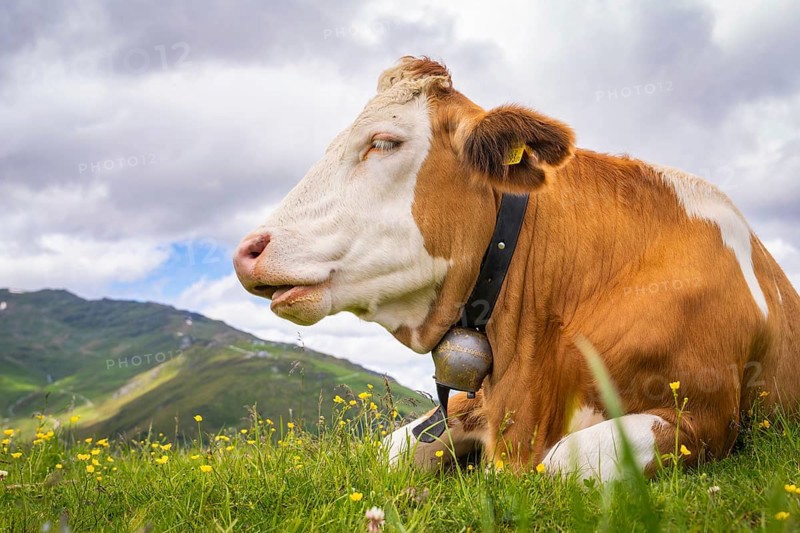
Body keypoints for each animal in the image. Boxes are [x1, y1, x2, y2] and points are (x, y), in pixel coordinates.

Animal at [233, 56, 800, 480]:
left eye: (384, 142)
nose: (247, 251)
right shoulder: (478, 401)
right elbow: (388, 451)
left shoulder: (707, 418)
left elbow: (562, 464)